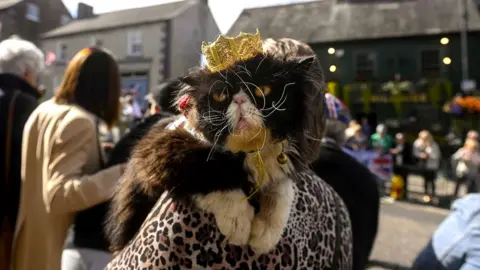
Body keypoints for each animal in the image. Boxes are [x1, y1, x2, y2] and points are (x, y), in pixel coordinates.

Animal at [104, 49, 322, 255]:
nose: (239, 100)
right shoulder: (159, 152)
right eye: (220, 95)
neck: (249, 151)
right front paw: (239, 224)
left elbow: (282, 191)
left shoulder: (282, 161)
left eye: (263, 90)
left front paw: (264, 236)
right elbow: (213, 174)